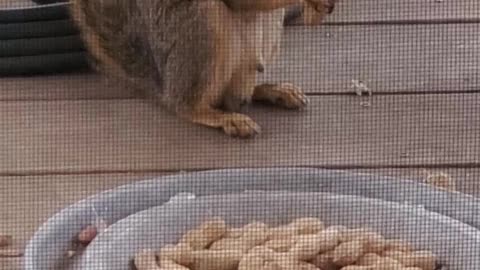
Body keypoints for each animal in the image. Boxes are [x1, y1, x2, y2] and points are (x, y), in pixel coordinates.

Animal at [70, 0, 334, 138]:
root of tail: (165, 89)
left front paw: (315, 12)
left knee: (236, 94)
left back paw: (274, 90)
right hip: (200, 27)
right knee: (187, 106)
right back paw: (223, 117)